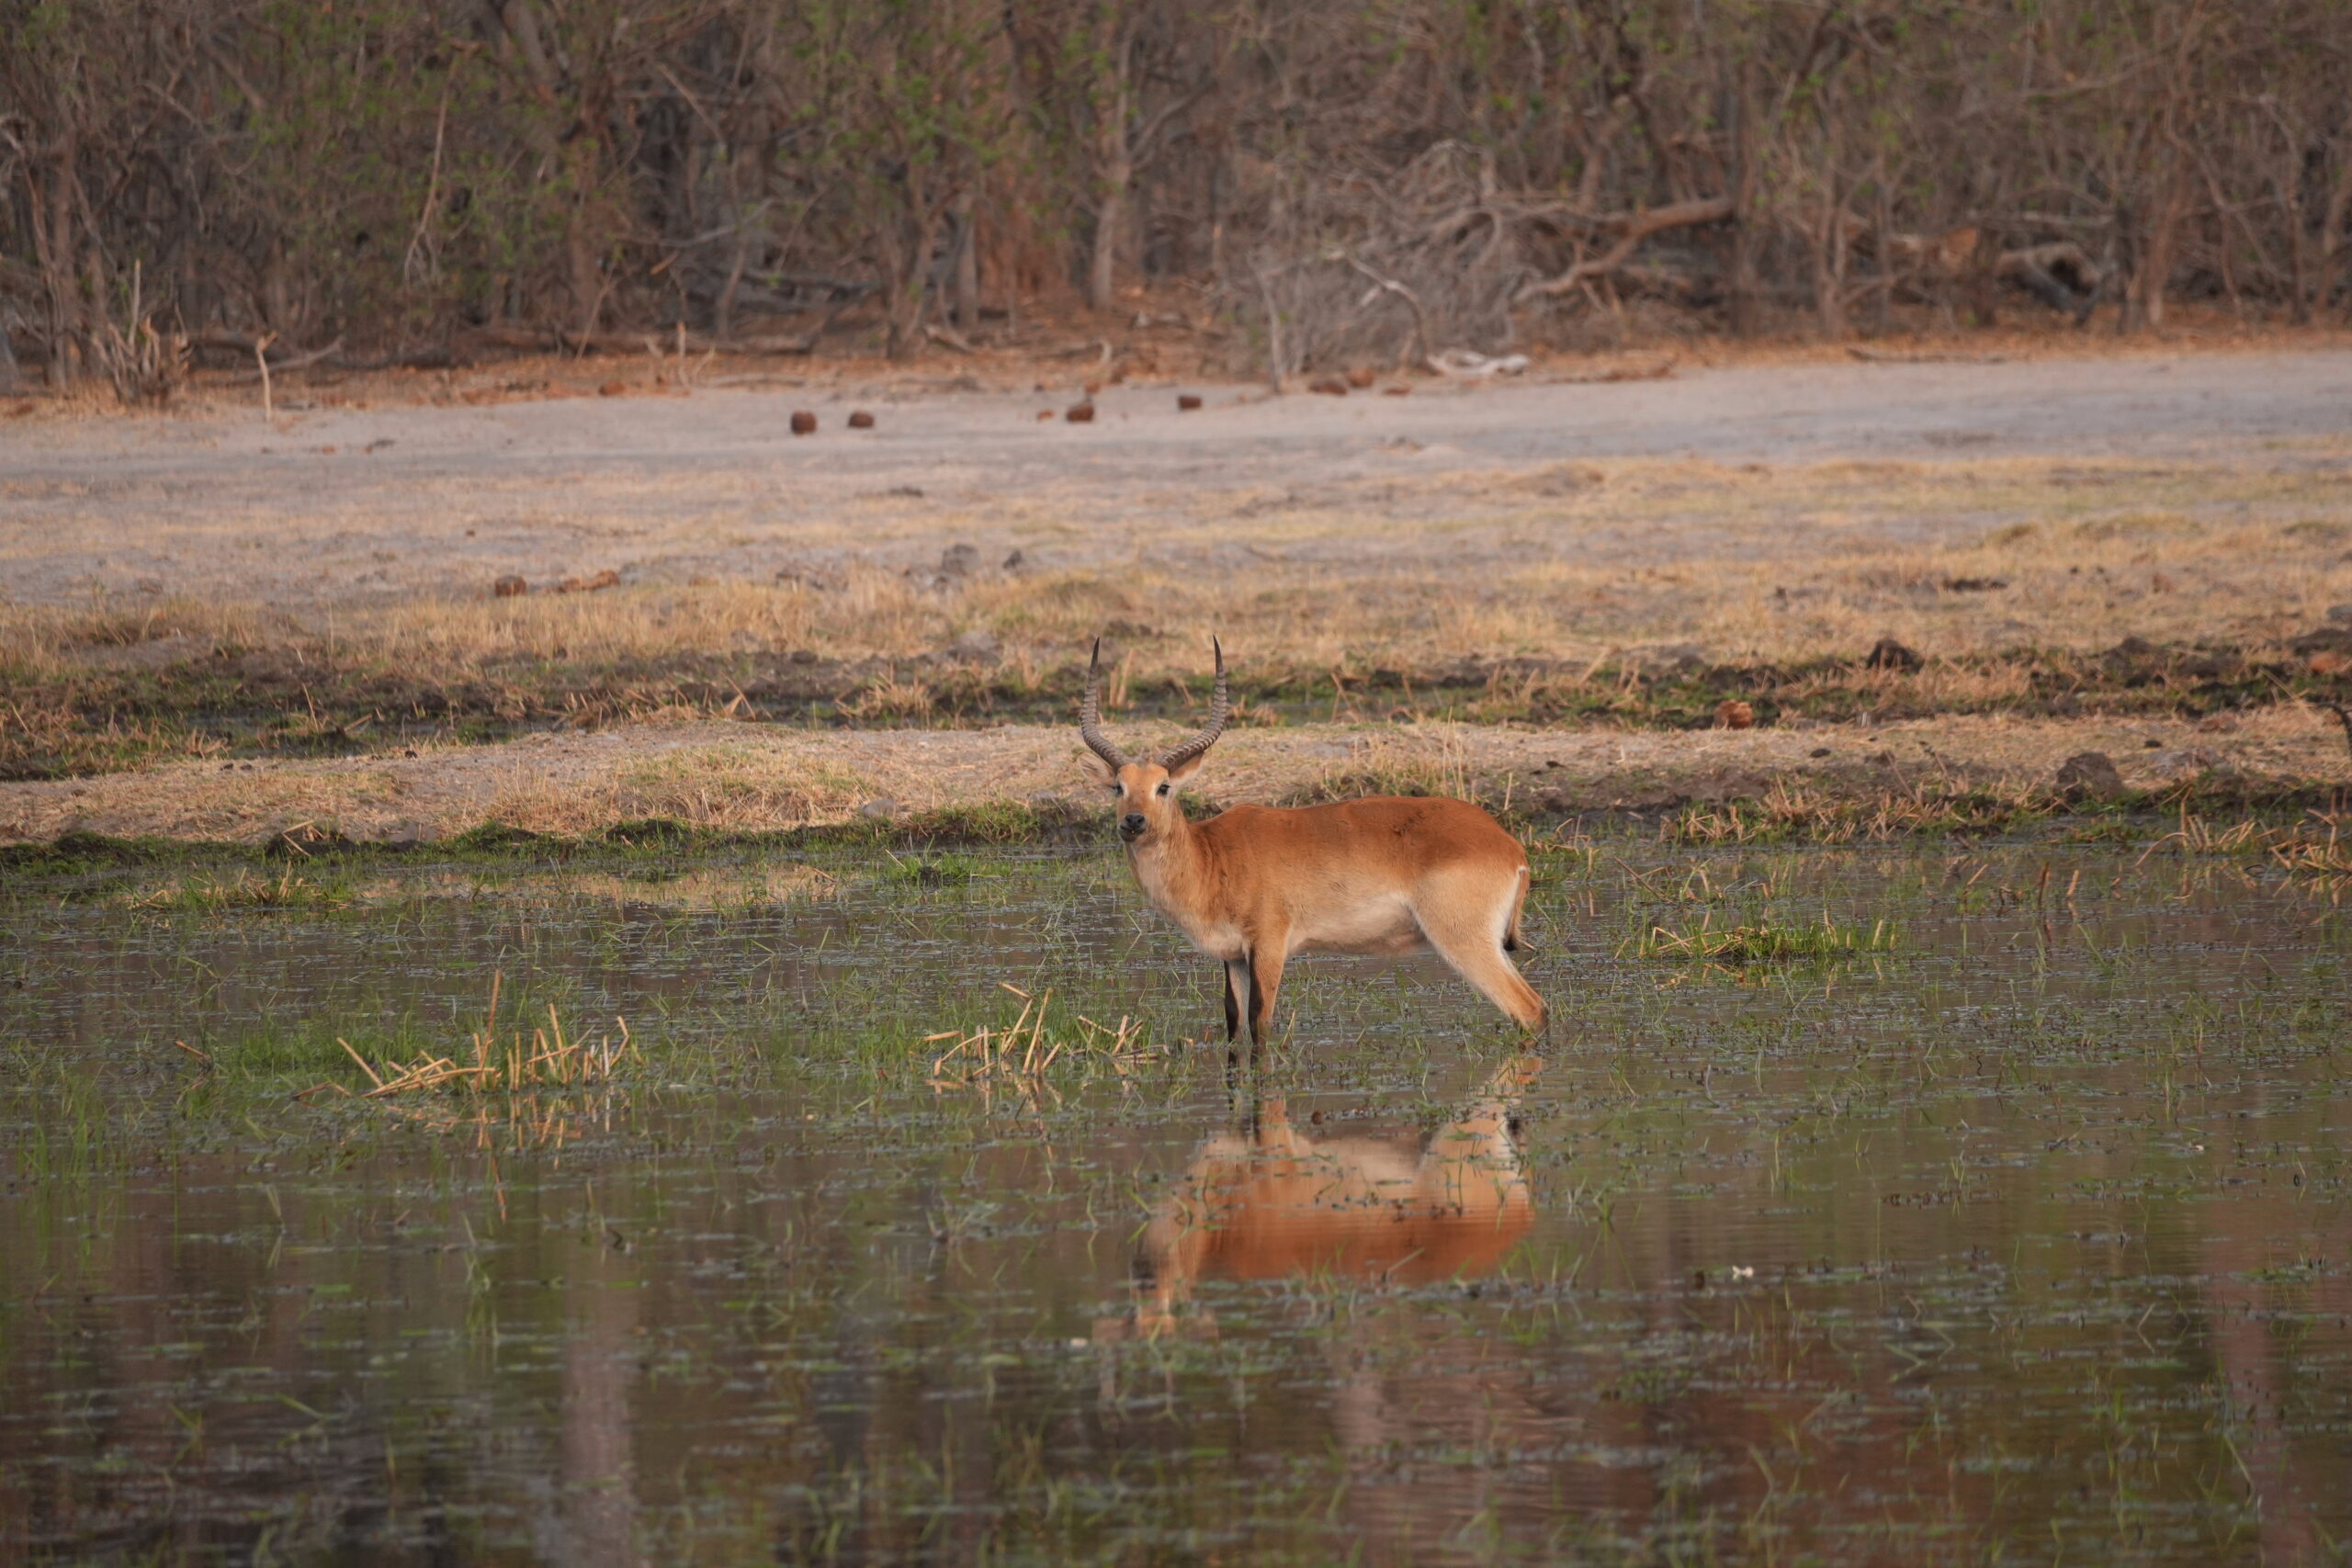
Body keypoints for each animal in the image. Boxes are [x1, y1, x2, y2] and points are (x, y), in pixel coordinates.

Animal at [1077, 639, 1552, 1053]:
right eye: (1118, 786)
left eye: (1164, 786)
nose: (1133, 822)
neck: (1210, 855)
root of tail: (1508, 845)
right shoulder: (1233, 957)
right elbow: (1233, 1024)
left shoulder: (1269, 946)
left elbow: (1261, 1024)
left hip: (1464, 942)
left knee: (1529, 1009)